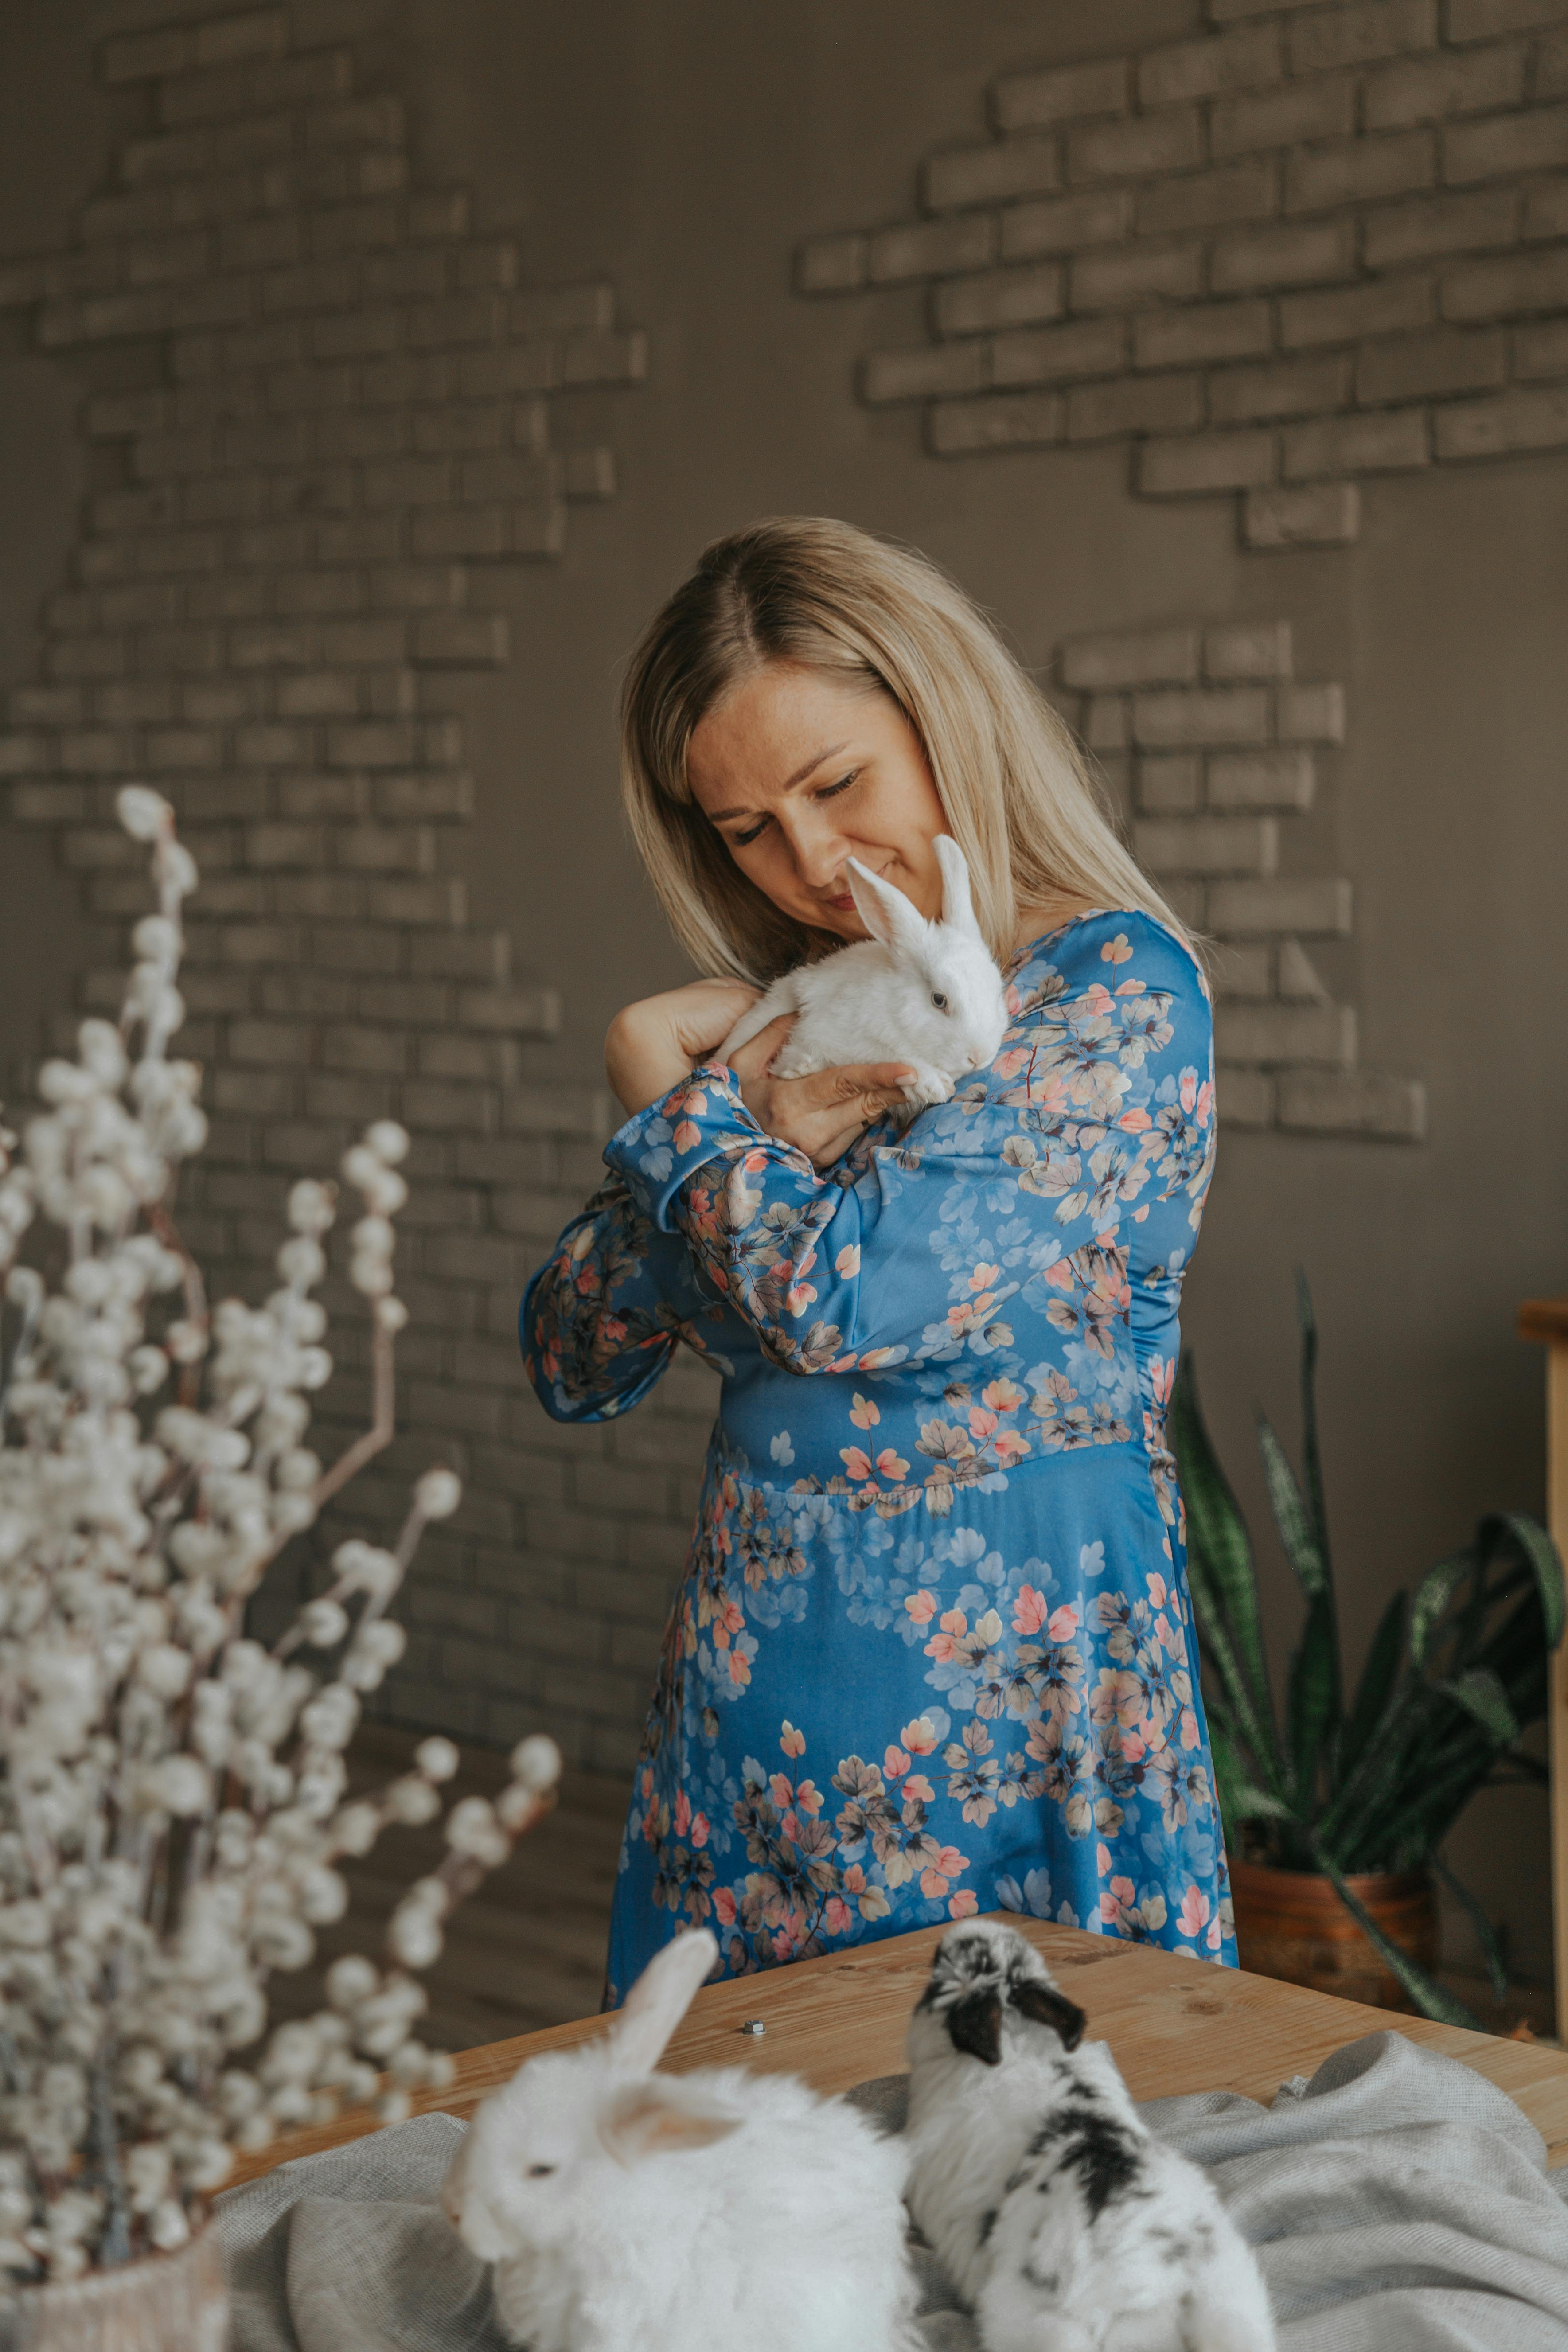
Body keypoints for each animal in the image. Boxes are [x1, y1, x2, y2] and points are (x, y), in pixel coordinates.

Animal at [719, 837, 1010, 1110]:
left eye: (998, 993)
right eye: (939, 1000)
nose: (979, 1057)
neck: (894, 1009)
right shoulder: (832, 1035)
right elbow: (880, 1052)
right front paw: (934, 1084)